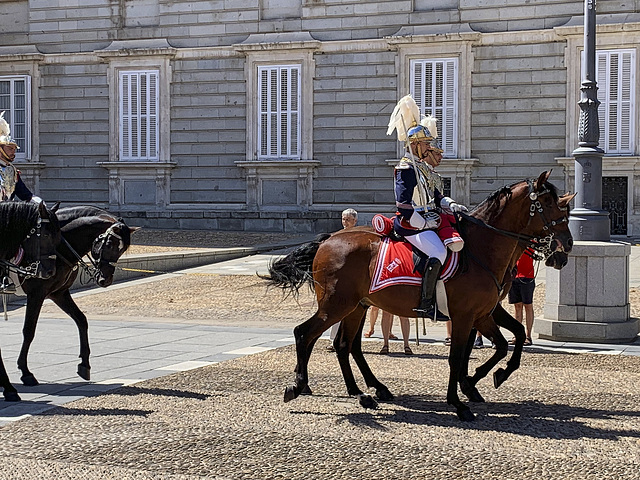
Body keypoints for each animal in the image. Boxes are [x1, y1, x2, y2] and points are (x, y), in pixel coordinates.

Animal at [16, 205, 139, 386]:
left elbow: (81, 320)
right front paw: (25, 371)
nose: (106, 279)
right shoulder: (36, 294)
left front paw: (85, 364)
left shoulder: (58, 293)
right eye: (109, 244)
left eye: (122, 250)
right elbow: (29, 331)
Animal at [264, 172, 576, 420]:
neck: (480, 249)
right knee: (305, 333)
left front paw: (482, 379)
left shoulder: (483, 313)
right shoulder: (465, 315)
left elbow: (510, 339)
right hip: (336, 305)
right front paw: (460, 401)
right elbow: (458, 356)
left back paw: (364, 392)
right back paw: (299, 385)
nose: (567, 246)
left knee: (344, 345)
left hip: (357, 306)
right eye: (549, 204)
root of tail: (330, 238)